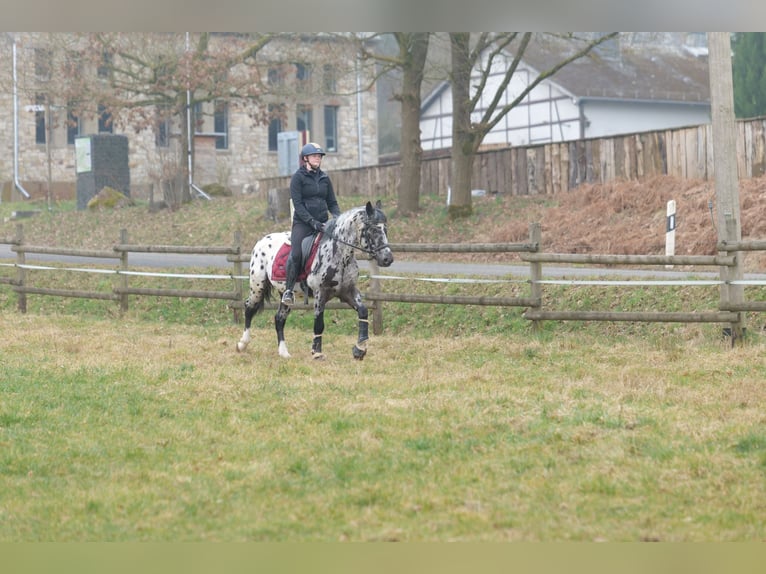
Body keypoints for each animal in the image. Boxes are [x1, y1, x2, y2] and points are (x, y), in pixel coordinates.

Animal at [236, 201, 396, 360]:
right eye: (373, 230)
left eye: (385, 229)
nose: (387, 259)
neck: (339, 255)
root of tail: (261, 240)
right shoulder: (321, 293)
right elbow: (319, 323)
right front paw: (317, 352)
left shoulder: (347, 291)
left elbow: (363, 312)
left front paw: (359, 349)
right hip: (257, 286)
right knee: (249, 307)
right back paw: (242, 344)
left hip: (284, 293)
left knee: (279, 318)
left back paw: (284, 352)